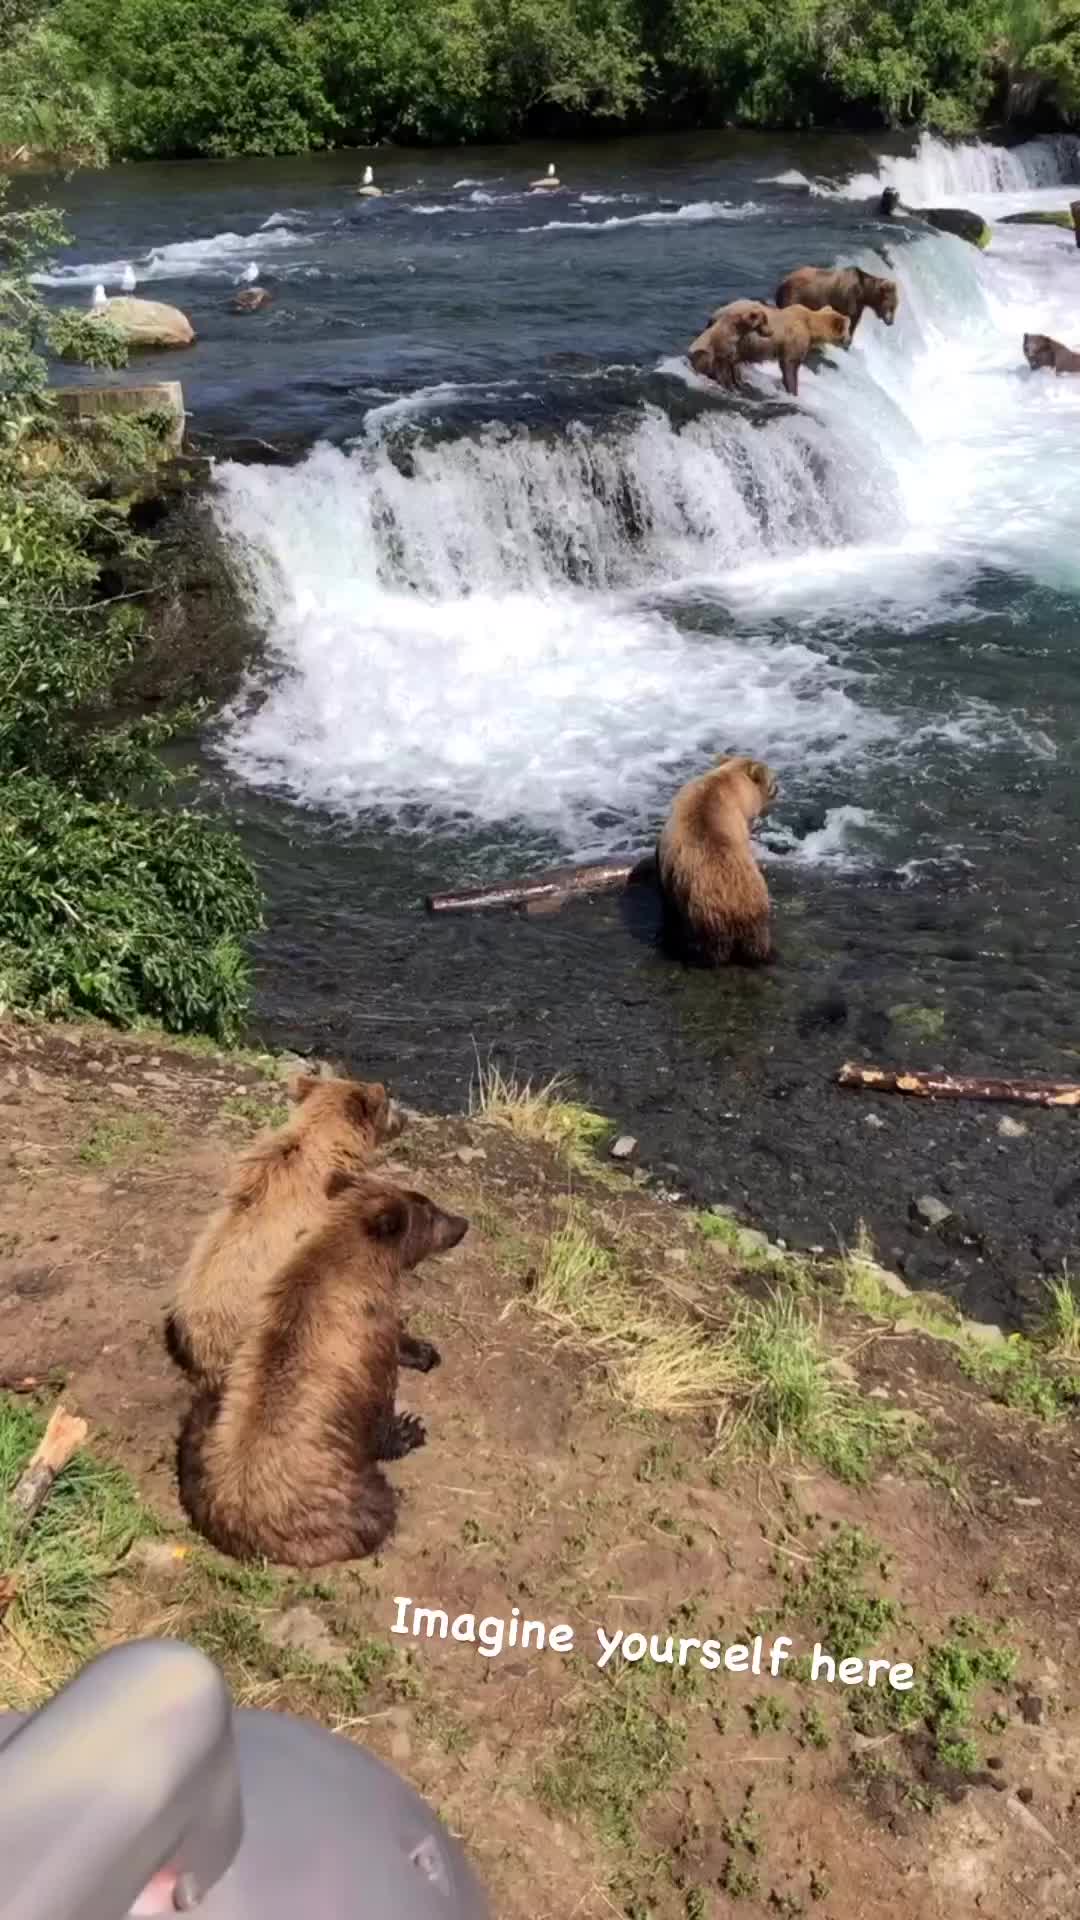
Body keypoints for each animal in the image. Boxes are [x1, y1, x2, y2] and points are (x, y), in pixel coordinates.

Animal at [176, 1167, 466, 1574]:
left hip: (201, 1440)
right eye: (429, 1211)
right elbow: (378, 1409)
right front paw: (409, 1428)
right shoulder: (364, 1347)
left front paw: (425, 1352)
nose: (463, 1224)